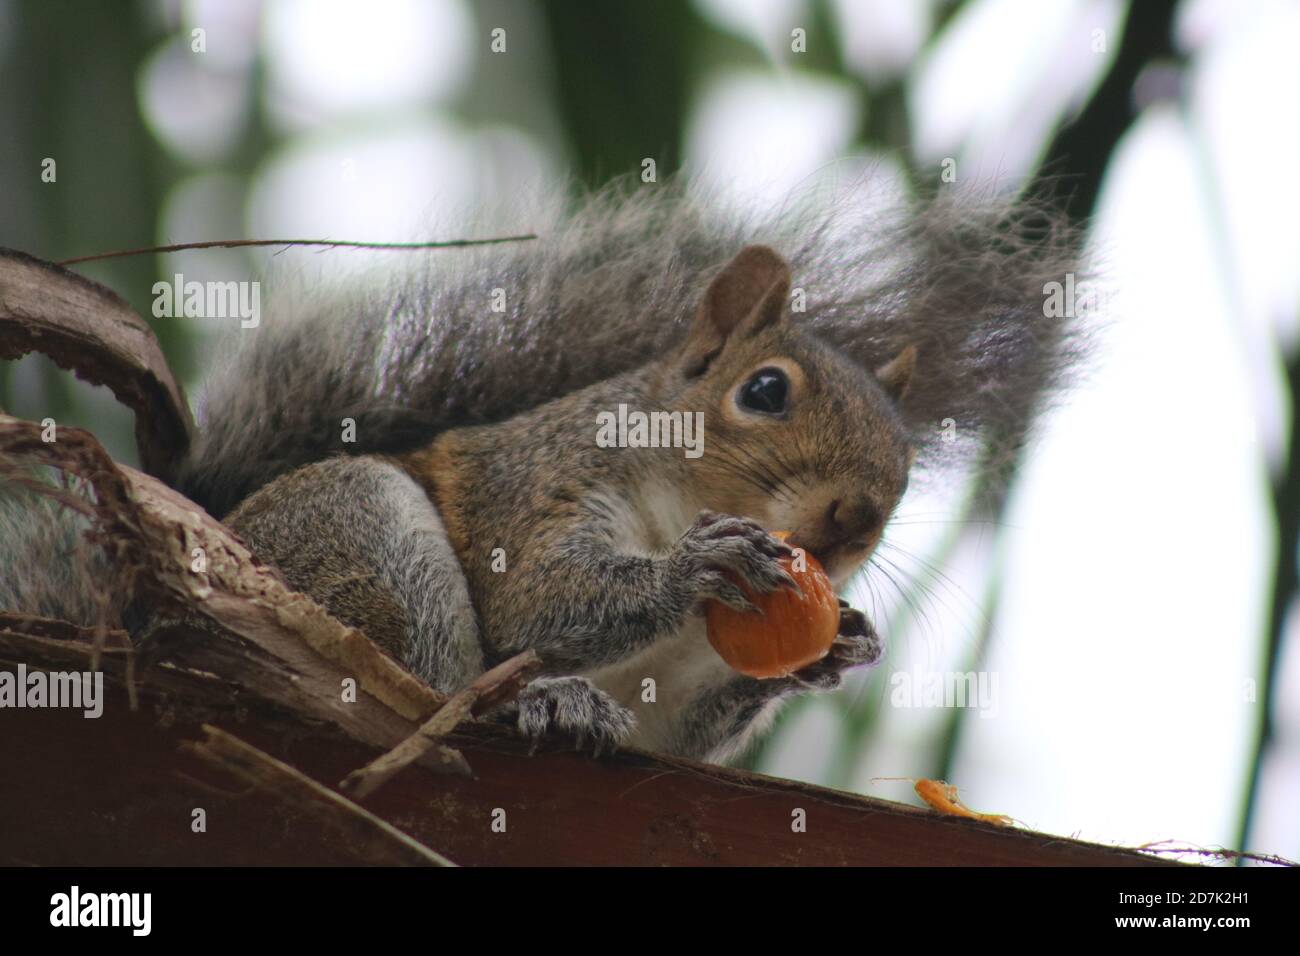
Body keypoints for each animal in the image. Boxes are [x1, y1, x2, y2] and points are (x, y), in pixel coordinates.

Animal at [0, 181, 1083, 763]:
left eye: (906, 455)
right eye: (766, 390)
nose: (854, 517)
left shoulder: (675, 705)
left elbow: (681, 737)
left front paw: (843, 644)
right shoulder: (531, 492)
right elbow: (538, 602)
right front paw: (689, 570)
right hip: (356, 534)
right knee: (417, 695)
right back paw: (534, 702)